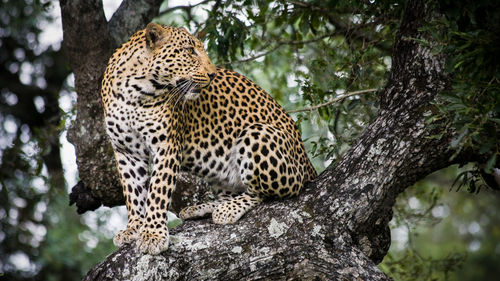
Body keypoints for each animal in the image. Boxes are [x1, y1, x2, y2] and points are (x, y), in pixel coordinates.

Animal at [101, 22, 316, 254]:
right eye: (189, 51)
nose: (213, 75)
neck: (135, 92)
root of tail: (308, 164)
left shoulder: (167, 146)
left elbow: (158, 190)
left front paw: (153, 234)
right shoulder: (126, 151)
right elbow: (133, 193)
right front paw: (134, 228)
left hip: (257, 134)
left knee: (267, 192)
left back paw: (227, 210)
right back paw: (202, 208)